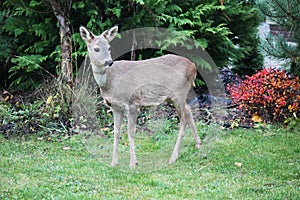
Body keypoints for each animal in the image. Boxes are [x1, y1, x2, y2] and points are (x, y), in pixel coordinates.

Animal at [80, 25, 202, 168]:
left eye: (109, 47)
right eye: (96, 48)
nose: (109, 62)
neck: (111, 81)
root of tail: (194, 66)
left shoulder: (133, 102)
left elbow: (130, 131)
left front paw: (133, 163)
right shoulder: (115, 106)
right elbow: (116, 132)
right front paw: (114, 162)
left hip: (179, 91)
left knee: (183, 121)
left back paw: (173, 158)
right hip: (175, 95)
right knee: (188, 109)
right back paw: (198, 144)